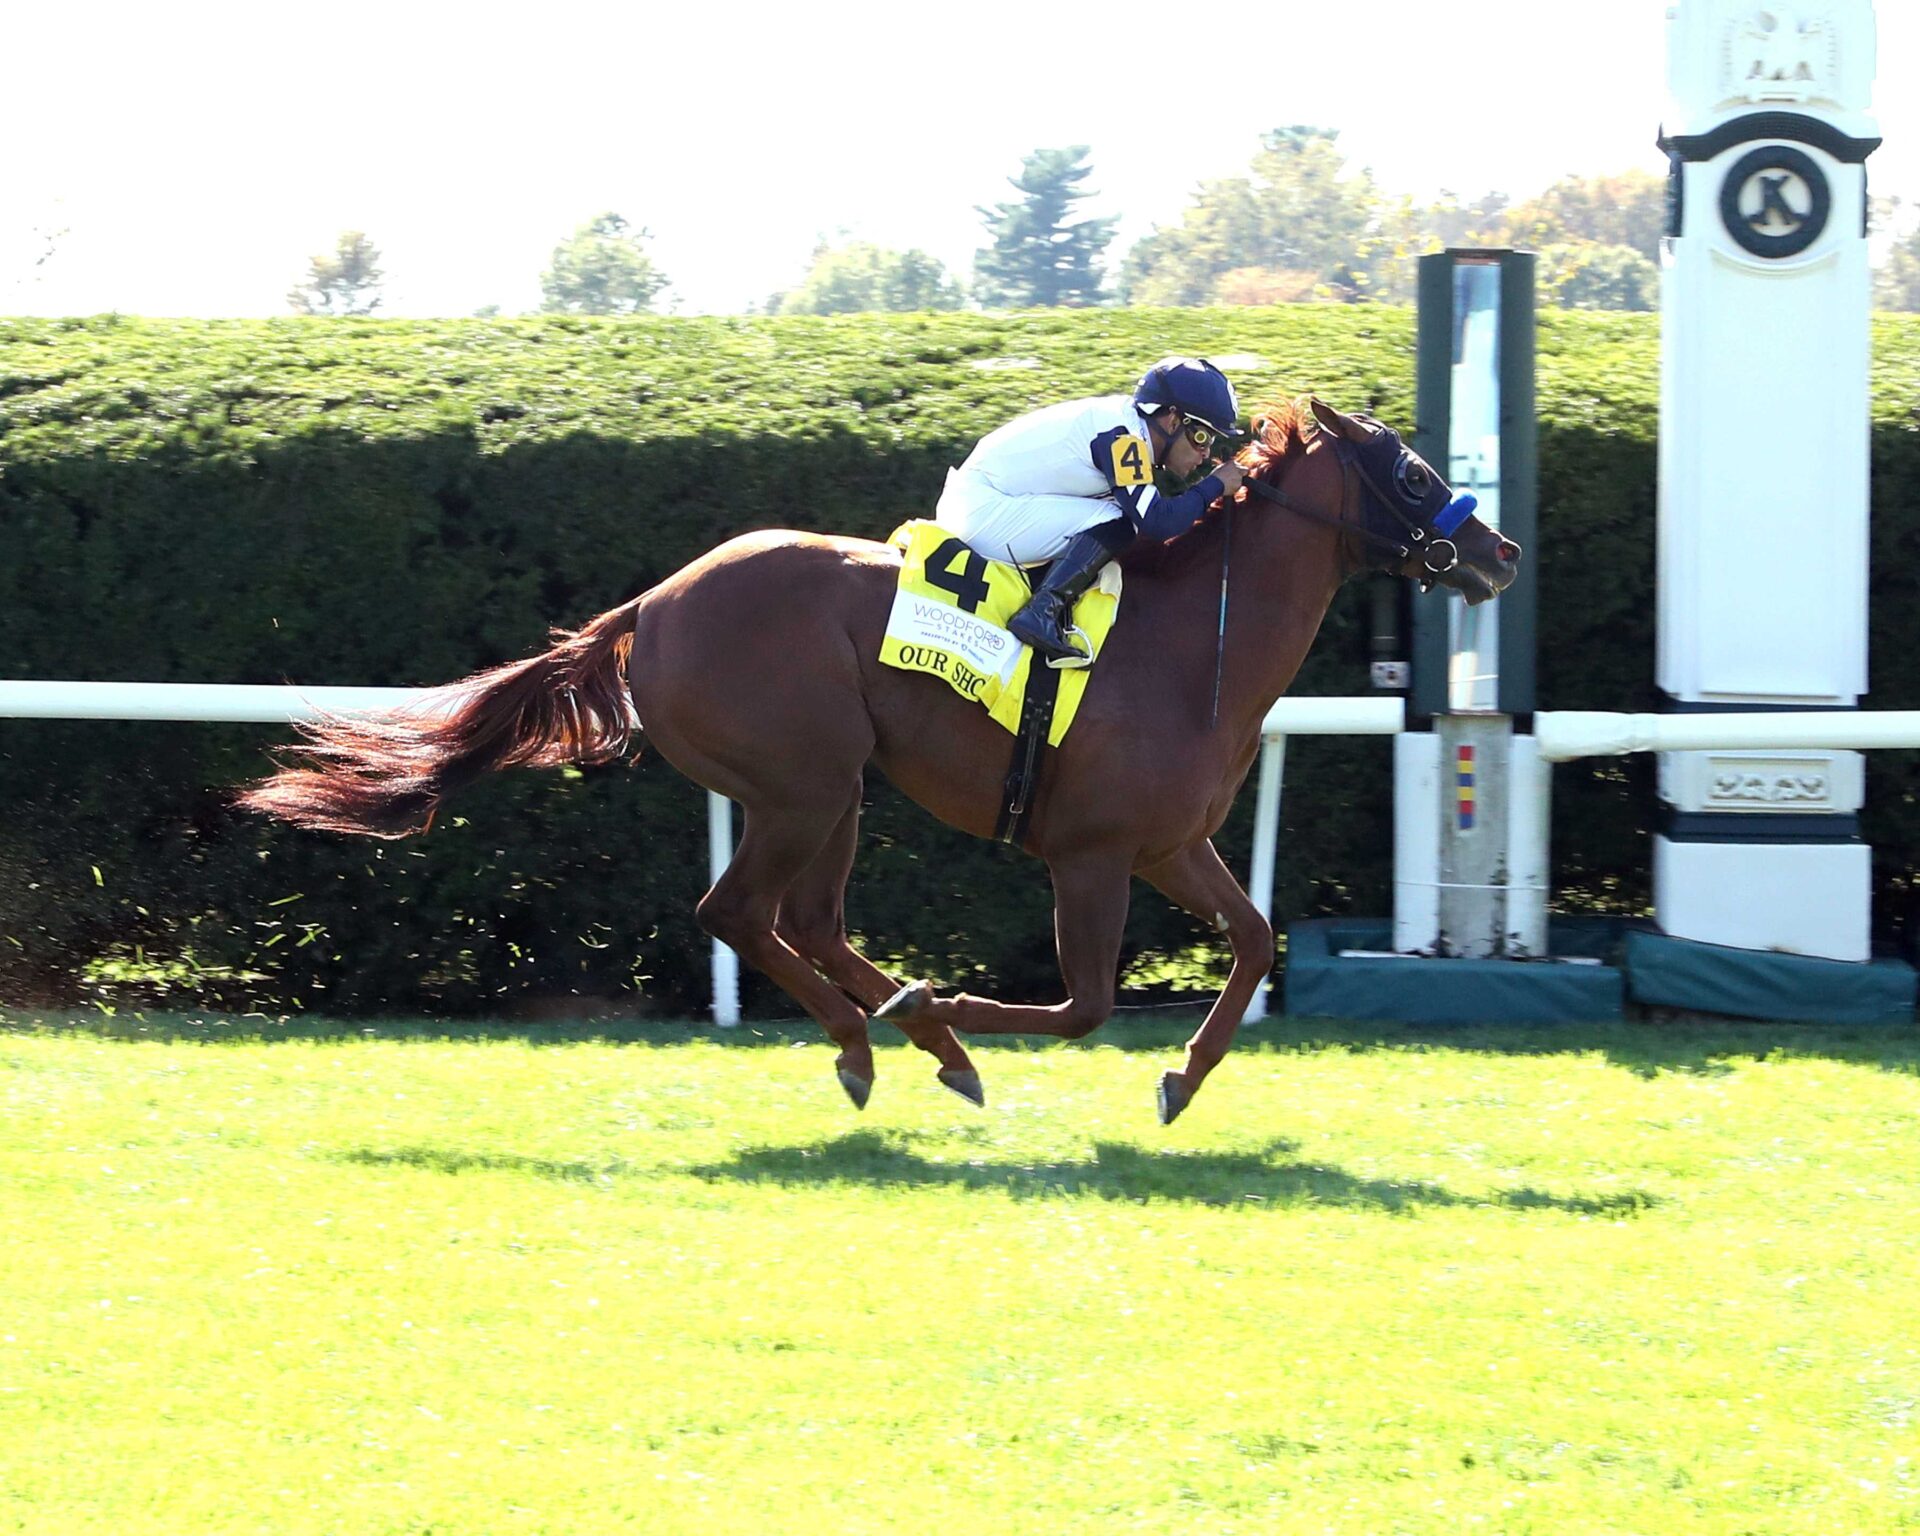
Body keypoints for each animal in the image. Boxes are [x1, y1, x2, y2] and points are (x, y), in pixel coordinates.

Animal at [239, 396, 1520, 1123]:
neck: (1187, 640)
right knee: (741, 914)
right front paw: (951, 1003)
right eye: (1413, 474)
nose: (1500, 552)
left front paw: (1180, 1080)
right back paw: (890, 1034)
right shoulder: (1092, 853)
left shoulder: (1172, 844)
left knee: (801, 922)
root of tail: (652, 604)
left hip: (830, 788)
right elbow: (1086, 1005)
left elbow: (1252, 943)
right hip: (805, 781)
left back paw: (907, 1034)